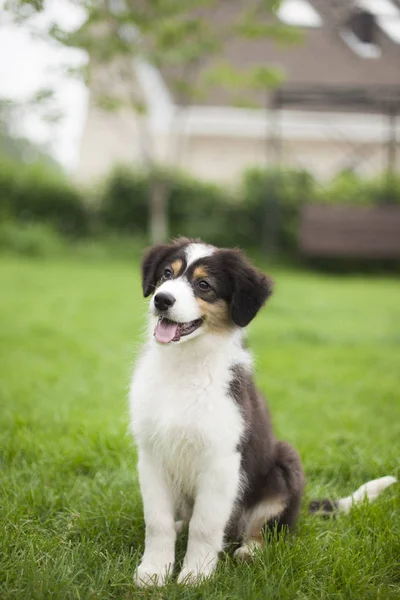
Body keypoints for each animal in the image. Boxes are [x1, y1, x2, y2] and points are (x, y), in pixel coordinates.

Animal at [129, 238, 396, 584]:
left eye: (204, 285)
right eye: (165, 274)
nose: (161, 300)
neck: (184, 367)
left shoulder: (222, 461)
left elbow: (205, 526)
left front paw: (195, 576)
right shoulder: (152, 455)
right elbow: (157, 521)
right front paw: (153, 573)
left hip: (285, 463)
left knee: (265, 528)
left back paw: (250, 551)